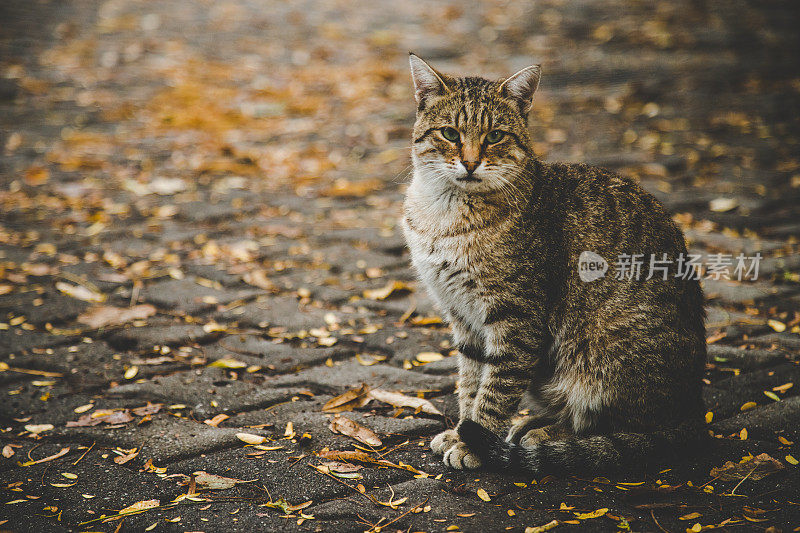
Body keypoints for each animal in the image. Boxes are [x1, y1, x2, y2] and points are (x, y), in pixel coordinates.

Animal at [404, 52, 704, 472]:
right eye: (449, 134)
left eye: (494, 136)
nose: (470, 163)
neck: (443, 213)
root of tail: (693, 410)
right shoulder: (462, 318)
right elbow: (470, 382)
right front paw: (462, 429)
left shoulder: (516, 320)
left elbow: (494, 391)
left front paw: (473, 442)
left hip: (600, 355)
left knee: (610, 428)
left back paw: (541, 435)